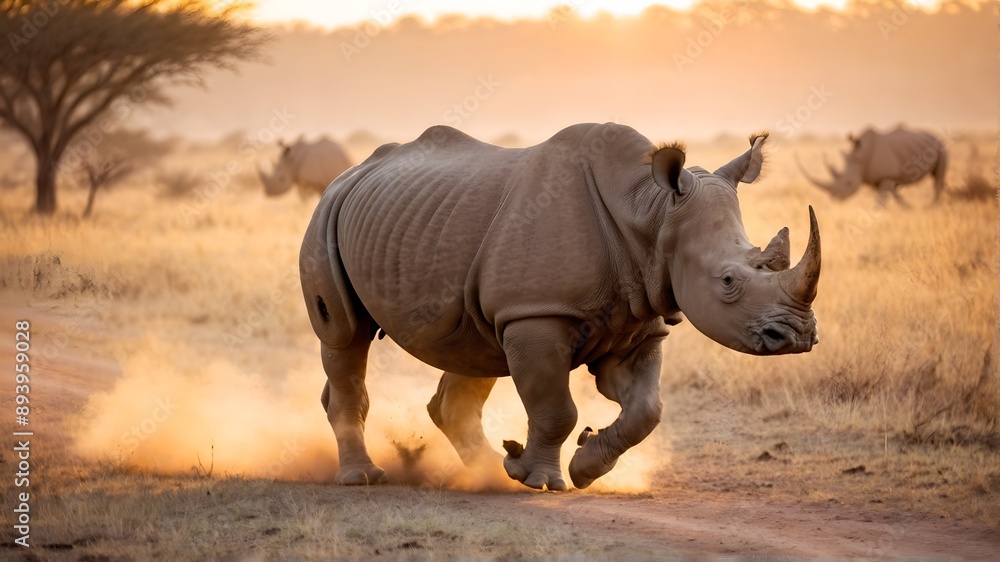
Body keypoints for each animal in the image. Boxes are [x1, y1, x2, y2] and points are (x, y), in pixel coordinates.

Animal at [299, 123, 821, 490]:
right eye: (728, 281)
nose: (797, 336)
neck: (651, 213)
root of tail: (351, 173)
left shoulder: (638, 318)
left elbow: (645, 408)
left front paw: (585, 468)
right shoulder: (538, 312)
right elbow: (556, 408)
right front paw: (543, 481)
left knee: (475, 348)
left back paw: (490, 474)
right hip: (326, 213)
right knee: (344, 336)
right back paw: (365, 478)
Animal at [796, 126, 947, 207]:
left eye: (849, 183)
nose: (835, 198)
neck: (861, 158)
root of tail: (935, 135)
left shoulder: (887, 176)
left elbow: (881, 201)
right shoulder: (879, 179)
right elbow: (888, 196)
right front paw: (907, 208)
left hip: (941, 147)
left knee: (938, 178)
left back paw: (933, 206)